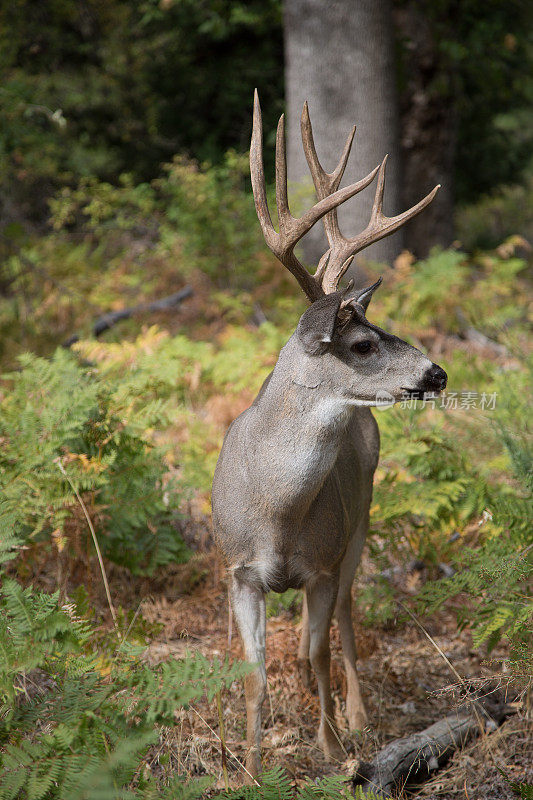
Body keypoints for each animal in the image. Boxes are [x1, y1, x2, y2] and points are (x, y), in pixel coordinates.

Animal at [210, 89, 446, 780]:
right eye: (363, 342)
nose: (437, 373)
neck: (276, 512)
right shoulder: (237, 572)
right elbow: (255, 673)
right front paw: (251, 762)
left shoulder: (319, 565)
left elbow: (317, 654)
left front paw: (333, 747)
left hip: (360, 521)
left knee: (345, 614)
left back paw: (360, 715)